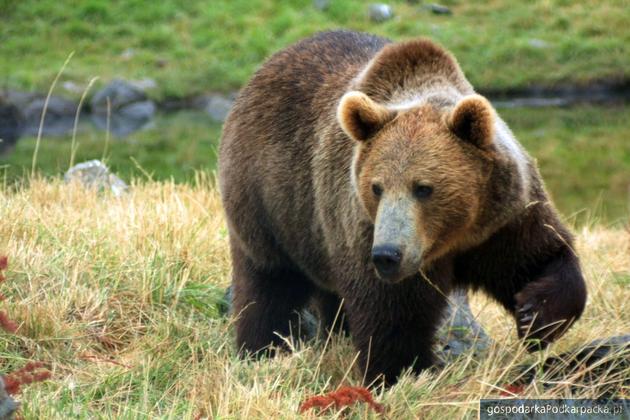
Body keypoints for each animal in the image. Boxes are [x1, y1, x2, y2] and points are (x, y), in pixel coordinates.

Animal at [220, 29, 592, 384]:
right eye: (377, 187)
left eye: (423, 188)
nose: (387, 254)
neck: (451, 237)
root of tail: (270, 63)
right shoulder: (362, 228)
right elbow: (392, 316)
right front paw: (404, 372)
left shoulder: (503, 219)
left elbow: (541, 256)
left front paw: (534, 317)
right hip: (269, 205)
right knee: (269, 285)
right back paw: (263, 350)